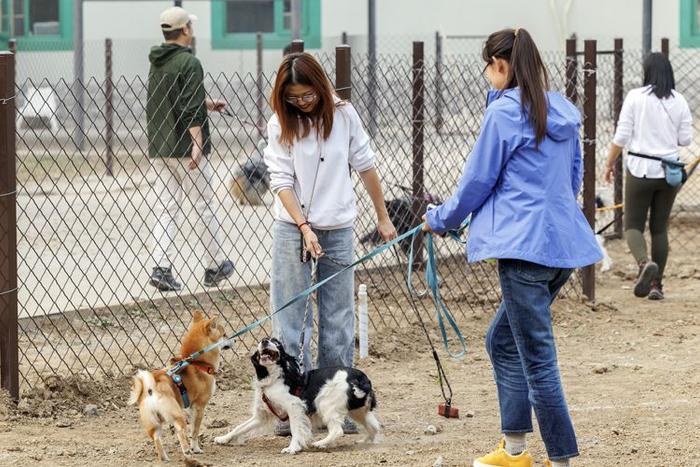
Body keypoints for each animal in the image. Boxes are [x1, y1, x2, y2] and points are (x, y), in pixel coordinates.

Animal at [129, 312, 230, 462]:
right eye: (224, 334)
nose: (234, 340)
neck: (197, 362)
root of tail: (151, 388)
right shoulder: (199, 407)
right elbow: (195, 431)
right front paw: (196, 448)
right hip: (177, 415)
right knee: (180, 432)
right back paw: (187, 451)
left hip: (154, 422)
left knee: (156, 438)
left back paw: (164, 458)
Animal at [213, 338, 380, 456]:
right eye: (261, 341)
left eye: (276, 342)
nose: (264, 341)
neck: (273, 379)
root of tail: (361, 377)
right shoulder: (261, 416)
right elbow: (240, 427)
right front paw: (223, 439)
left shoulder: (294, 406)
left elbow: (295, 429)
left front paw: (292, 448)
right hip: (358, 411)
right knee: (374, 426)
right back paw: (366, 441)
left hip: (325, 403)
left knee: (338, 430)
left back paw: (321, 443)